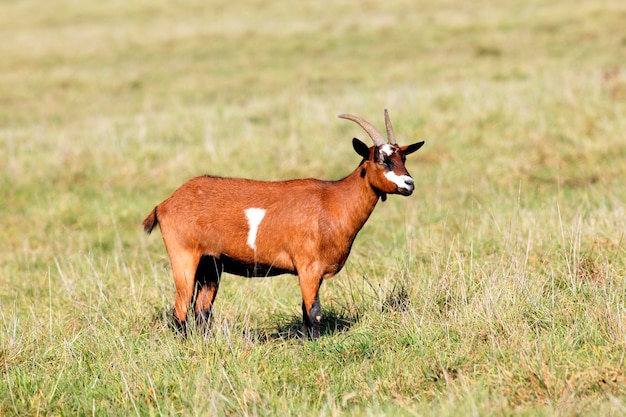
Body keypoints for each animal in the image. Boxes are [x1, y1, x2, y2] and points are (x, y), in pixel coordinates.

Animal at [143, 109, 424, 336]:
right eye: (381, 159)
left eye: (403, 158)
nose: (409, 184)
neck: (334, 201)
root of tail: (165, 204)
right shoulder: (308, 267)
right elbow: (314, 312)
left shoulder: (313, 272)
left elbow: (305, 312)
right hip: (184, 257)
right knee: (180, 311)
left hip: (210, 265)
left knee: (201, 311)